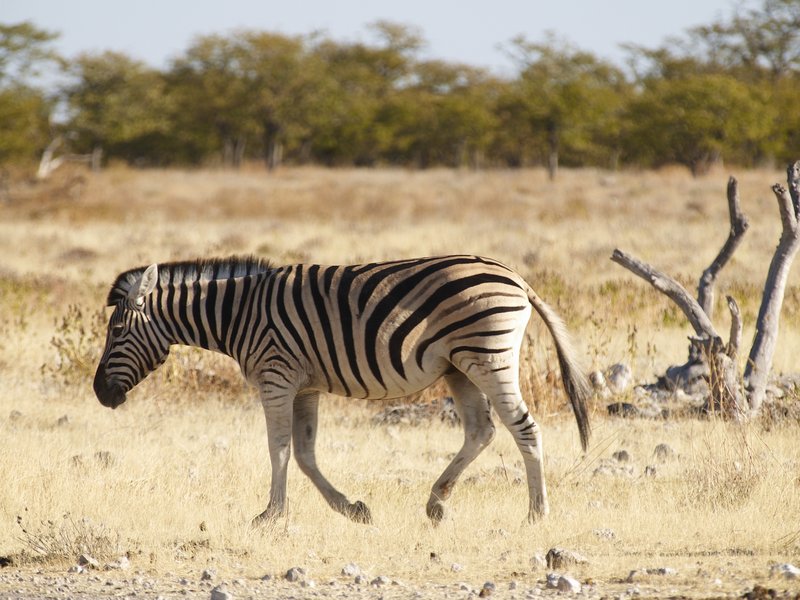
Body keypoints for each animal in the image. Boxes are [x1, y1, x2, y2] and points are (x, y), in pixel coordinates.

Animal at [93, 254, 591, 524]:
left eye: (116, 331)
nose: (100, 394)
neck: (238, 314)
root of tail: (517, 278)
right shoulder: (304, 386)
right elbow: (305, 453)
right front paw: (352, 508)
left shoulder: (276, 377)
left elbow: (279, 448)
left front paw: (270, 514)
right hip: (459, 366)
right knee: (481, 430)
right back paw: (436, 502)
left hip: (488, 355)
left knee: (524, 429)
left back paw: (537, 513)